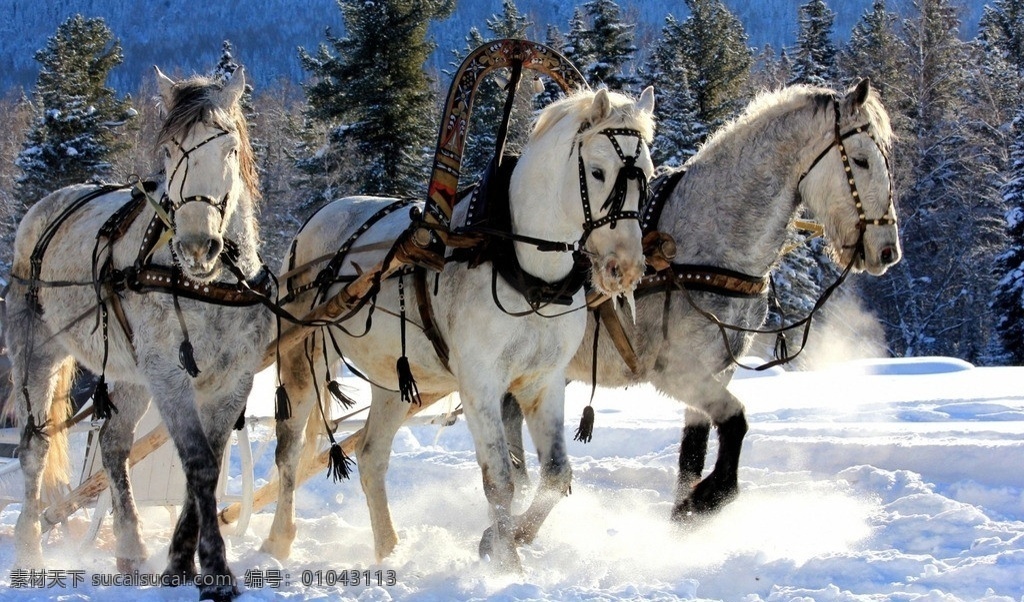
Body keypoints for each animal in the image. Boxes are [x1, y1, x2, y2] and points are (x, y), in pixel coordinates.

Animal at [6, 67, 271, 601]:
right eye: (169, 150)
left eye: (229, 147)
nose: (196, 245)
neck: (206, 284)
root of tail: (46, 206)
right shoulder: (169, 374)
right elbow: (199, 463)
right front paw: (214, 569)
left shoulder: (232, 380)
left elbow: (207, 464)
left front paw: (179, 564)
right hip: (35, 352)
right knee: (34, 449)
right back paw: (28, 550)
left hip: (127, 372)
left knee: (112, 443)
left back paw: (129, 548)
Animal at [261, 86, 656, 571]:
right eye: (598, 172)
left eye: (648, 176)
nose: (626, 268)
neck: (523, 269)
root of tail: (317, 217)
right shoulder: (480, 383)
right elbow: (500, 480)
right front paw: (506, 563)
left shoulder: (543, 382)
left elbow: (555, 475)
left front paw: (511, 537)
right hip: (304, 358)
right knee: (289, 452)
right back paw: (278, 541)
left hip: (396, 380)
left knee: (372, 457)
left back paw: (389, 549)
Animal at [503, 79, 902, 520]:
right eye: (861, 160)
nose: (887, 250)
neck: (709, 243)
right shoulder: (676, 370)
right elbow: (735, 423)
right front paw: (709, 497)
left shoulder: (715, 370)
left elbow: (693, 454)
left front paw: (683, 514)